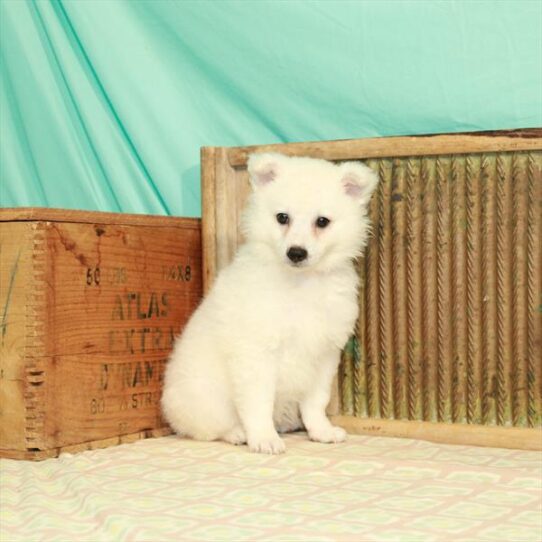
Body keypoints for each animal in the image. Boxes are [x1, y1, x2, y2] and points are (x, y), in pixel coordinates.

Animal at [164, 153, 380, 454]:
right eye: (282, 217)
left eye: (322, 221)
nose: (296, 252)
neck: (300, 284)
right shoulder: (257, 353)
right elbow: (258, 403)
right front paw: (264, 438)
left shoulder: (324, 355)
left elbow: (316, 401)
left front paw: (321, 431)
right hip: (205, 396)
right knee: (207, 428)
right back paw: (237, 433)